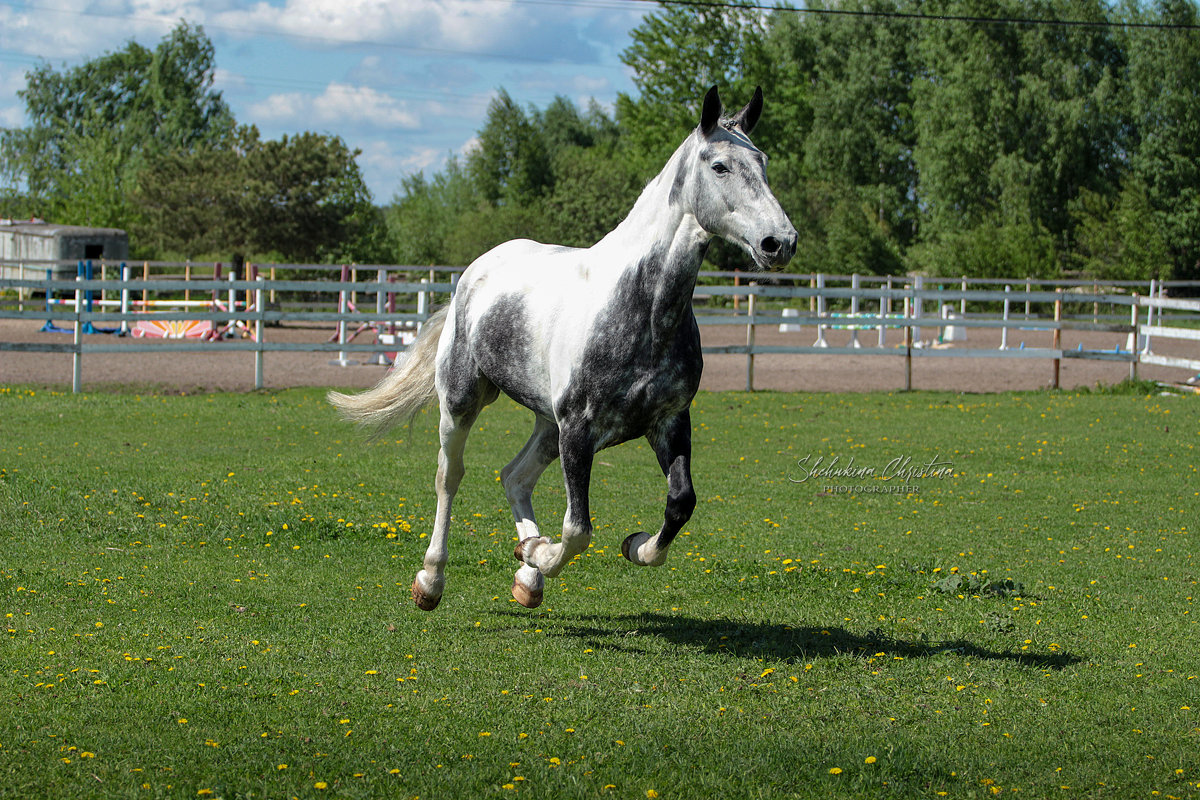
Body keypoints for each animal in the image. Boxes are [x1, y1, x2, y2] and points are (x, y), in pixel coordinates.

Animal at [331, 86, 796, 614]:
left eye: (762, 162)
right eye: (719, 166)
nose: (779, 242)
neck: (641, 310)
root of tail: (475, 272)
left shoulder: (670, 421)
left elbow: (680, 504)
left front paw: (632, 545)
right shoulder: (578, 429)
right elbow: (577, 530)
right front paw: (542, 552)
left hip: (545, 423)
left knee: (515, 477)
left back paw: (527, 578)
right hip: (463, 401)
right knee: (450, 477)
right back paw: (432, 581)